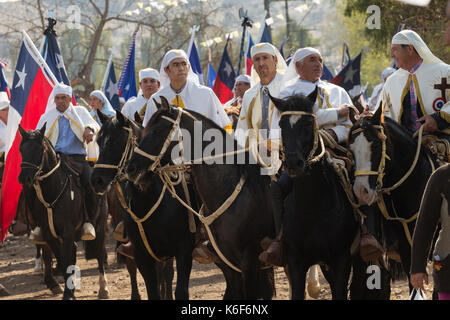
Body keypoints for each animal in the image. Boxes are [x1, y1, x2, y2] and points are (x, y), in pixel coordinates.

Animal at [17, 124, 110, 298]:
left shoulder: (67, 232)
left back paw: (103, 288)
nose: (25, 178)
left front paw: (68, 292)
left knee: (100, 254)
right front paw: (67, 288)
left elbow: (66, 259)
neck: (53, 191)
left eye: (39, 149)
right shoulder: (50, 234)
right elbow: (62, 259)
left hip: (100, 225)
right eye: (21, 149)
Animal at [91, 110, 190, 300]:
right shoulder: (138, 247)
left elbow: (167, 273)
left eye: (117, 141)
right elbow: (134, 268)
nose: (97, 181)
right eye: (98, 142)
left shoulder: (176, 246)